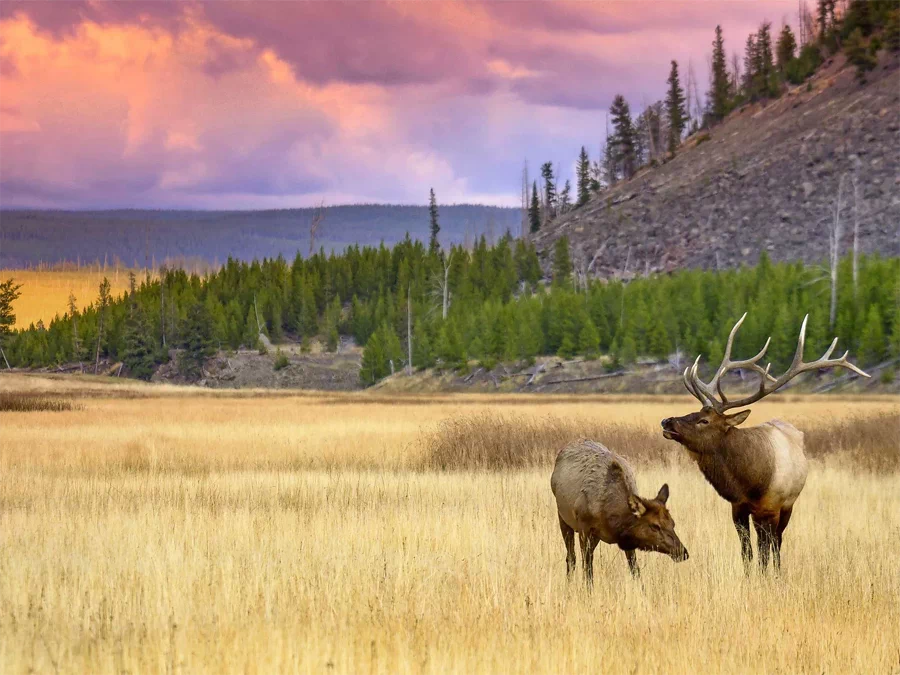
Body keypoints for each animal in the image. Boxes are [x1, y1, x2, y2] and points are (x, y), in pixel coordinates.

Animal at [548, 438, 688, 588]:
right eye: (655, 526)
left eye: (673, 523)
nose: (682, 552)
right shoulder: (584, 528)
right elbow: (587, 568)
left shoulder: (628, 539)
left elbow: (635, 569)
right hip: (563, 518)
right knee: (571, 557)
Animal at [664, 316, 868, 576]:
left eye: (704, 421)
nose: (667, 421)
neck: (750, 481)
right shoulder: (738, 508)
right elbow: (747, 552)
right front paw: (749, 576)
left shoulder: (771, 508)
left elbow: (764, 552)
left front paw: (765, 577)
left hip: (788, 506)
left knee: (777, 542)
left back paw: (778, 571)